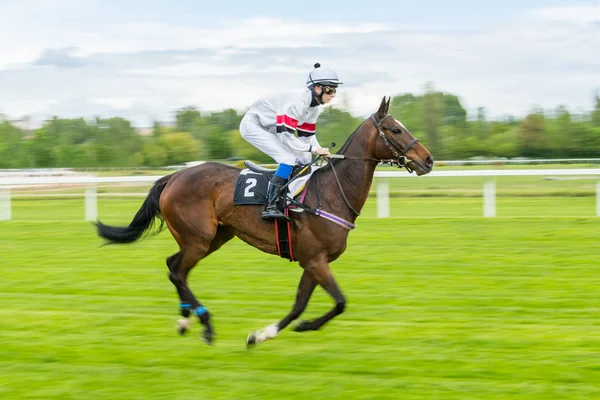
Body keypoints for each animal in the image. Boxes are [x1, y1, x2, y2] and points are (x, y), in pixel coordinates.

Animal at [94, 97, 434, 346]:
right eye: (395, 130)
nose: (428, 160)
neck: (330, 193)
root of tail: (174, 177)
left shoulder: (313, 260)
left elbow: (300, 304)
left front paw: (262, 334)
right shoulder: (315, 259)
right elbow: (339, 302)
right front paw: (300, 327)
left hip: (214, 238)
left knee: (172, 266)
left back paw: (184, 319)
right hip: (198, 239)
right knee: (178, 272)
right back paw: (205, 323)